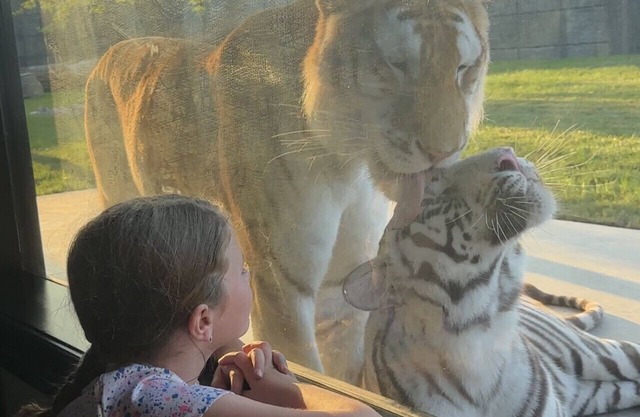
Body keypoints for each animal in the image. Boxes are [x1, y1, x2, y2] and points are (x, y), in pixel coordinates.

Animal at [84, 0, 491, 384]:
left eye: (464, 68)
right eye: (396, 64)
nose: (445, 152)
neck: (350, 168)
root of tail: (107, 53)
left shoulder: (345, 282)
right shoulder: (281, 284)